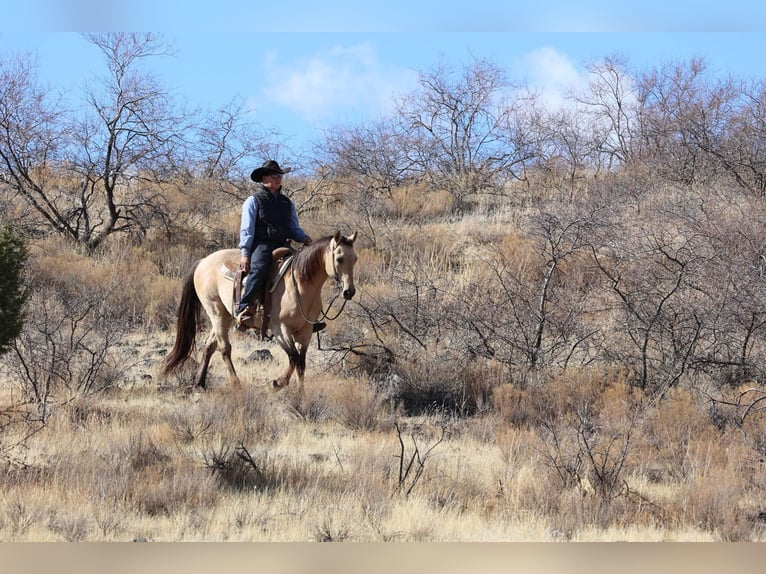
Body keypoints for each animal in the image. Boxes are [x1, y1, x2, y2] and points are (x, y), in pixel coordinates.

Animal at [162, 231, 358, 392]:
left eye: (354, 259)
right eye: (339, 259)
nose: (349, 292)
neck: (300, 285)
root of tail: (203, 262)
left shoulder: (305, 330)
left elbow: (301, 362)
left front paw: (301, 394)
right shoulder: (280, 329)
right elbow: (293, 357)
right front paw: (277, 383)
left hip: (224, 315)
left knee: (210, 345)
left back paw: (200, 383)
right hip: (215, 312)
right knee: (224, 348)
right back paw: (235, 383)